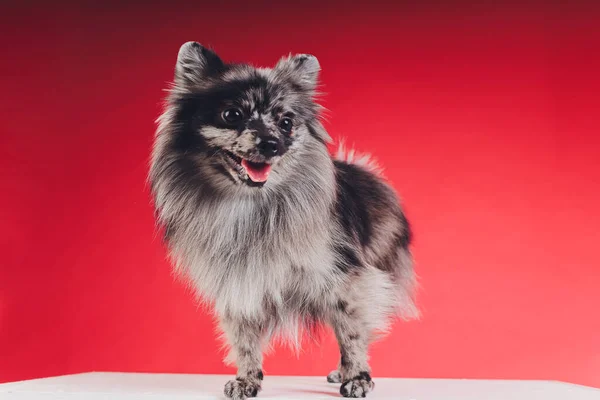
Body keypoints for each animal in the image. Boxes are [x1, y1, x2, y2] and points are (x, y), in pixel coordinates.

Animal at [149, 42, 418, 398]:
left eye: (287, 122)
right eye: (232, 115)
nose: (272, 143)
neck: (249, 208)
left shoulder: (345, 278)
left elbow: (352, 332)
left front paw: (358, 376)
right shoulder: (238, 285)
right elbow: (244, 339)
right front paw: (247, 378)